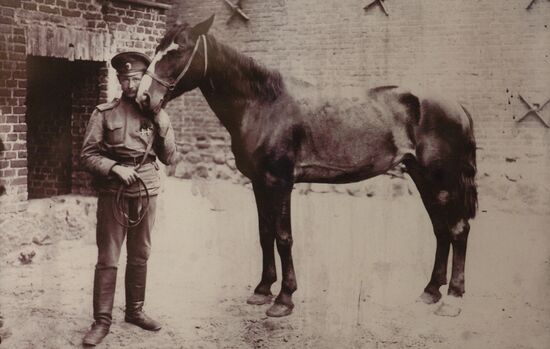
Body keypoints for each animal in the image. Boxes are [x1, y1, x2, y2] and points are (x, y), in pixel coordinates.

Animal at [138, 15, 478, 316]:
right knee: (441, 230)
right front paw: (262, 290)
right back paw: (430, 291)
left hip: (443, 180)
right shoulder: (259, 183)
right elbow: (265, 233)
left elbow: (284, 237)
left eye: (179, 49)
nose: (144, 97)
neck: (264, 105)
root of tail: (458, 107)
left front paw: (284, 299)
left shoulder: (280, 182)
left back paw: (452, 299)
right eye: (157, 47)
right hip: (424, 179)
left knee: (458, 229)